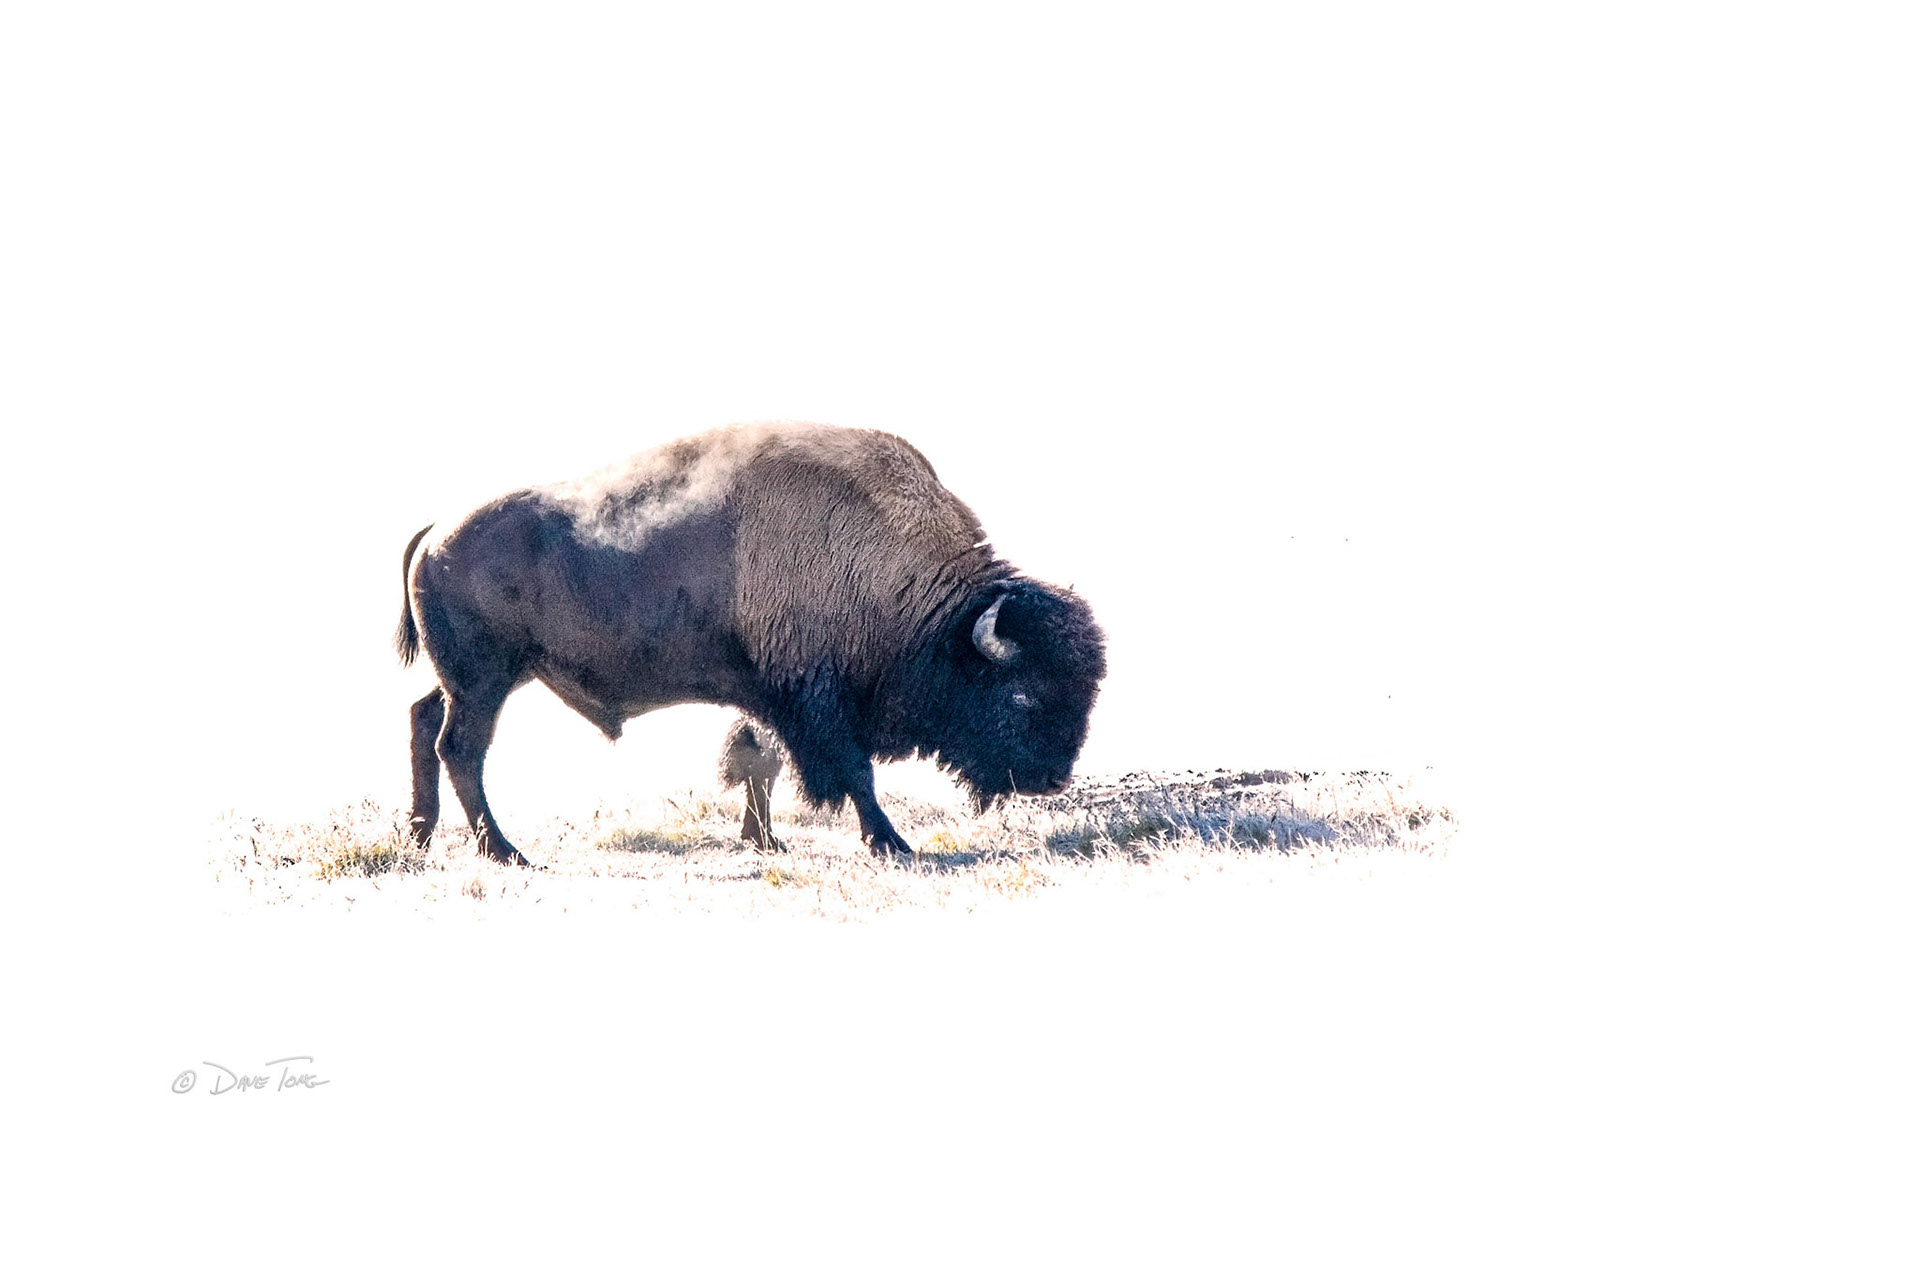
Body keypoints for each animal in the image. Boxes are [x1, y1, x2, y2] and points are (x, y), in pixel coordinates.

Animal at [395, 422, 1106, 862]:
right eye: (1021, 696)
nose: (1051, 779)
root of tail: (435, 533)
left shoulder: (769, 693)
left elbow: (757, 760)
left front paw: (765, 841)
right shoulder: (816, 700)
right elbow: (851, 771)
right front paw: (890, 843)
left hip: (479, 677)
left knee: (424, 719)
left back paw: (421, 836)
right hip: (486, 681)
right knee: (461, 748)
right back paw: (505, 853)